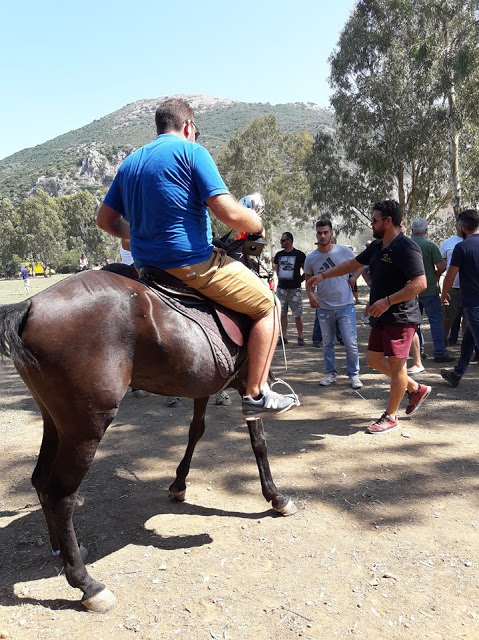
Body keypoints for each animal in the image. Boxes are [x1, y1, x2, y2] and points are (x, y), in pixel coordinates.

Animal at [0, 258, 298, 608]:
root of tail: (30, 306)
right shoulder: (247, 384)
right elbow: (258, 442)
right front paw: (276, 496)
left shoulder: (203, 387)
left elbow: (196, 430)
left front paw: (179, 484)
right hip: (86, 428)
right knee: (59, 495)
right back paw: (87, 584)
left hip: (56, 421)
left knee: (40, 480)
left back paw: (62, 549)